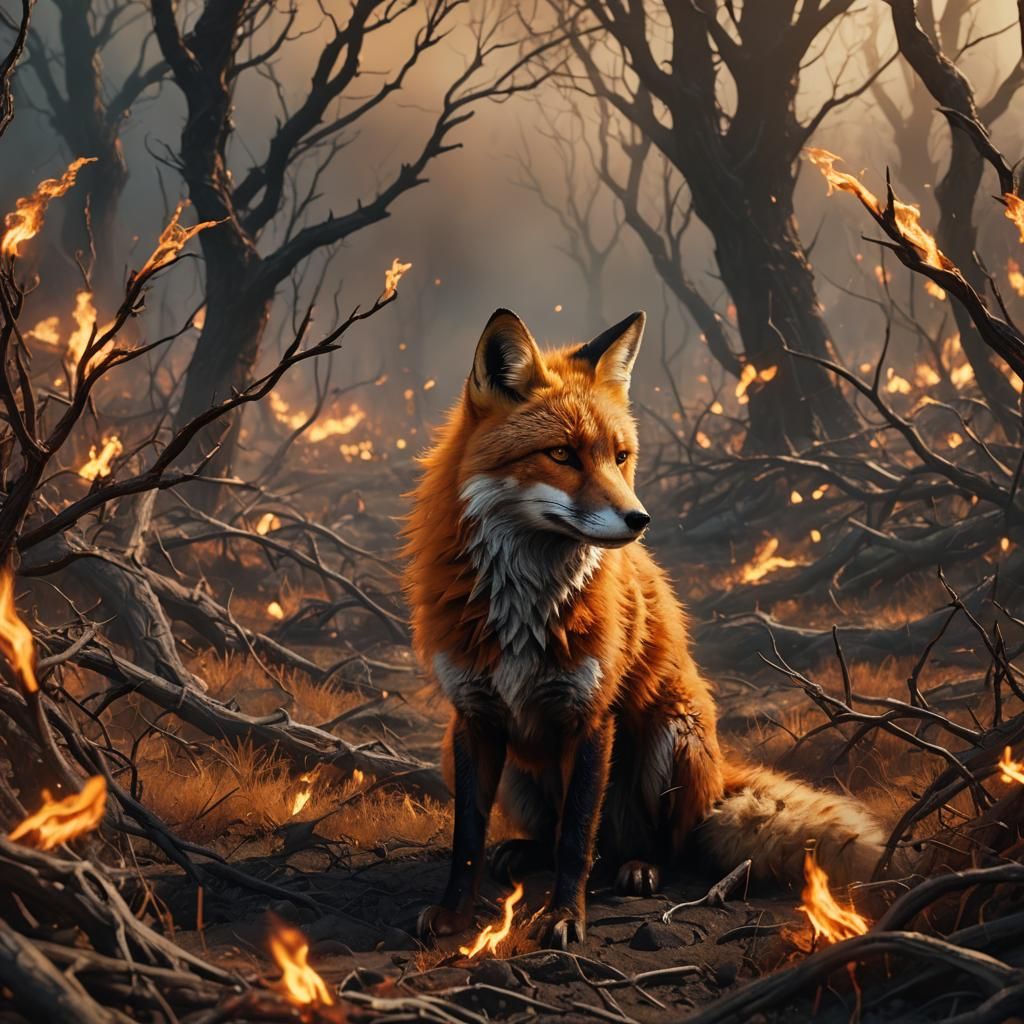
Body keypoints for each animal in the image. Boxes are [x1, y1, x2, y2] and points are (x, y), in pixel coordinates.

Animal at [403, 308, 884, 949]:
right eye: (562, 454)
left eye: (620, 456)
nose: (640, 519)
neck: (524, 607)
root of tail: (720, 774)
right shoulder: (473, 717)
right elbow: (468, 840)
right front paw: (454, 915)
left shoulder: (591, 715)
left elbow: (577, 840)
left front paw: (565, 917)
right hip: (503, 769)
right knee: (560, 837)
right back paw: (527, 851)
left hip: (669, 736)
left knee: (655, 845)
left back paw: (641, 867)